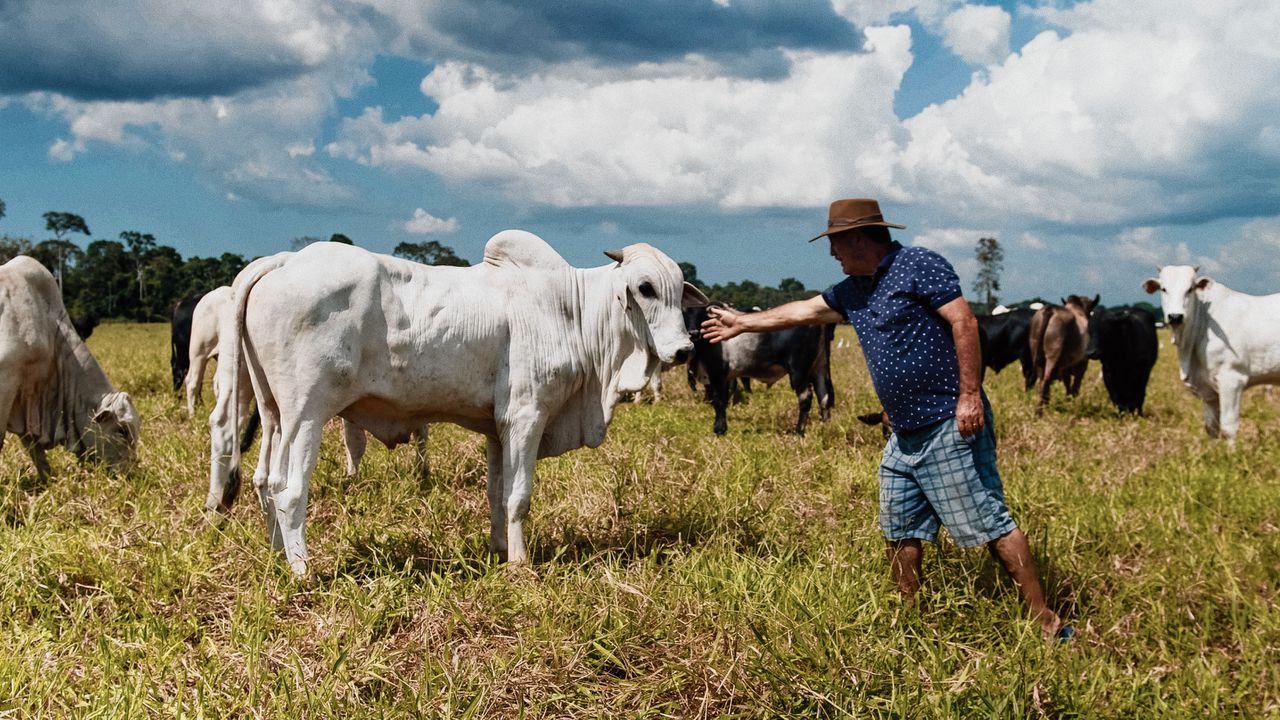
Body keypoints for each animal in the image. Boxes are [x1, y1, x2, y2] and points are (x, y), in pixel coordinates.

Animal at [0, 254, 140, 479]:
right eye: (122, 431)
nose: (130, 474)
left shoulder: (25, 399)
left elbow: (33, 447)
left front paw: (47, 480)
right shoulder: (7, 380)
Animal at [212, 230, 711, 571]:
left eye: (678, 288)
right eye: (645, 288)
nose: (684, 350)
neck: (573, 310)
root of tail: (284, 261)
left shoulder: (497, 427)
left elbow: (496, 494)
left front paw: (499, 550)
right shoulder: (527, 416)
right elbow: (519, 497)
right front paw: (520, 565)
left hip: (273, 413)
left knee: (262, 480)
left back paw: (277, 557)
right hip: (307, 414)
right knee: (287, 488)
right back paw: (302, 570)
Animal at [686, 301, 834, 430]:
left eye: (701, 315)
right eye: (684, 313)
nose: (693, 333)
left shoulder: (717, 374)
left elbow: (719, 400)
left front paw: (719, 429)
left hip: (799, 372)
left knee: (806, 398)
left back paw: (799, 431)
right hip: (819, 369)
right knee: (824, 396)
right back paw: (824, 426)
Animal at [1146, 263, 1280, 443]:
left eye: (1190, 289)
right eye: (1163, 289)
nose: (1175, 316)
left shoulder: (1232, 380)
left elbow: (1228, 426)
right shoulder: (1209, 391)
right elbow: (1211, 427)